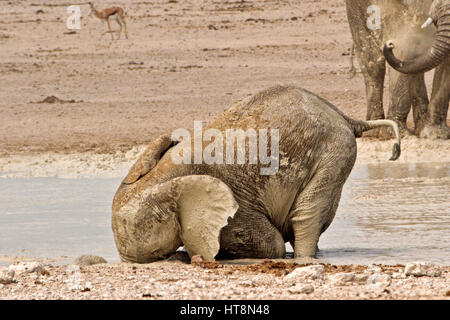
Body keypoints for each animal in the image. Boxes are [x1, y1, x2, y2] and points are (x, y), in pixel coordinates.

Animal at [111, 85, 400, 262]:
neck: (161, 177)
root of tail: (344, 116)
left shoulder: (236, 206)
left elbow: (271, 244)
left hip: (335, 149)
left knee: (307, 213)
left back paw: (304, 259)